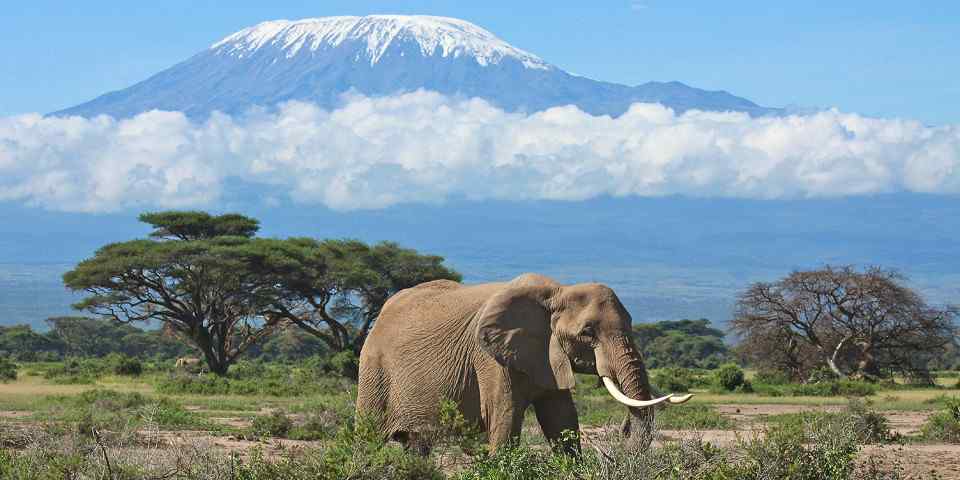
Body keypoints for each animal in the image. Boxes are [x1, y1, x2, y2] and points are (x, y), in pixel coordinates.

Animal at [356, 273, 692, 453]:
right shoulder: (489, 358)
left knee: (416, 446)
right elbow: (504, 421)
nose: (623, 429)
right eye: (587, 332)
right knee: (367, 438)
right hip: (373, 369)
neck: (557, 292)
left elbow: (562, 421)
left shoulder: (547, 355)